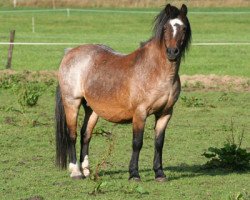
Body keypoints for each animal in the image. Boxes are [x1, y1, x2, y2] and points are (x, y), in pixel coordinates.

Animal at [54, 3, 191, 181]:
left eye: (183, 28)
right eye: (166, 27)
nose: (173, 52)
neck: (156, 71)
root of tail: (70, 52)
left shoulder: (165, 113)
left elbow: (159, 143)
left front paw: (159, 173)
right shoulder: (140, 113)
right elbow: (137, 143)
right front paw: (134, 174)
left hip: (92, 109)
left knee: (86, 135)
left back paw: (86, 170)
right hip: (72, 102)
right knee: (72, 134)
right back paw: (76, 172)